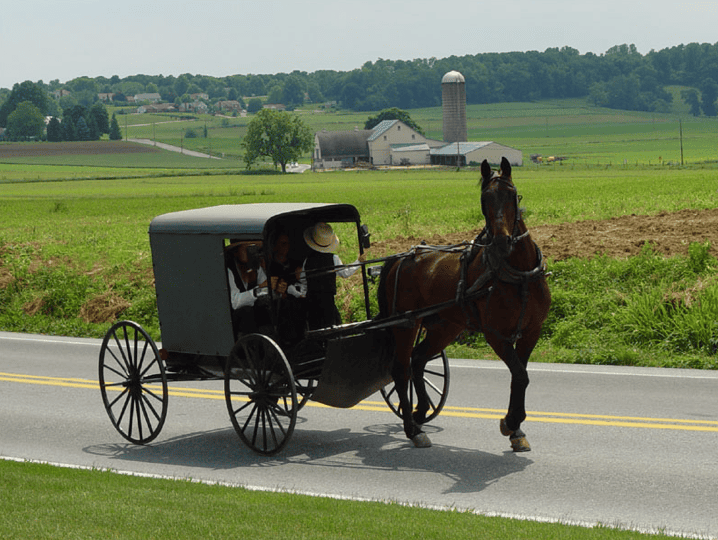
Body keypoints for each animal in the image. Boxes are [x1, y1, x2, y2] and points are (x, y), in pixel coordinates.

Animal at [380, 157, 556, 452]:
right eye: (485, 199)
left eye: (512, 194)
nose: (501, 242)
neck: (518, 275)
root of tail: (401, 257)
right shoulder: (496, 335)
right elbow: (520, 375)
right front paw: (511, 422)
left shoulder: (532, 331)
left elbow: (519, 376)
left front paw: (516, 429)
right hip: (406, 323)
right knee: (401, 370)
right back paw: (413, 429)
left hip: (444, 327)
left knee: (418, 360)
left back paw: (421, 411)